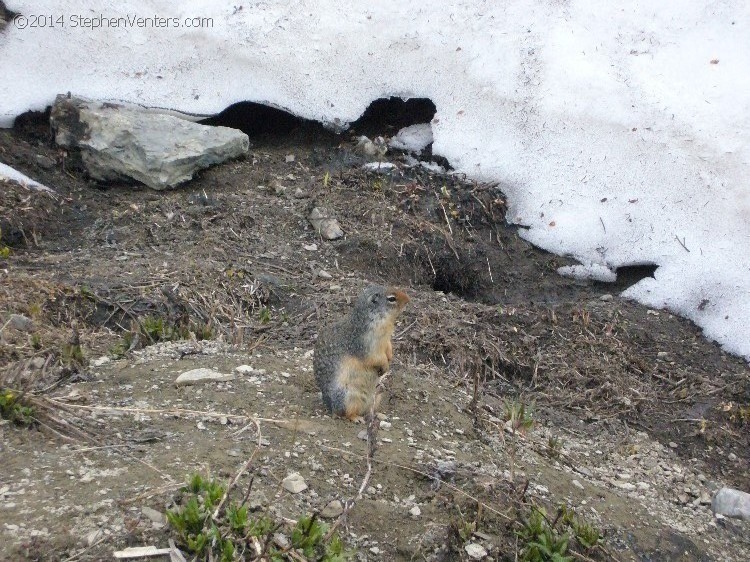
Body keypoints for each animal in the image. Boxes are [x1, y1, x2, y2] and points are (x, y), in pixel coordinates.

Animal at [312, 286, 412, 418]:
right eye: (391, 298)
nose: (408, 299)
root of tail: (329, 406)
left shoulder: (385, 340)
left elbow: (388, 347)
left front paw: (390, 357)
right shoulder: (365, 344)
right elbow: (375, 357)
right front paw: (385, 365)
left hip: (375, 397)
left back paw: (378, 414)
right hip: (348, 397)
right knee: (346, 413)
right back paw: (356, 418)